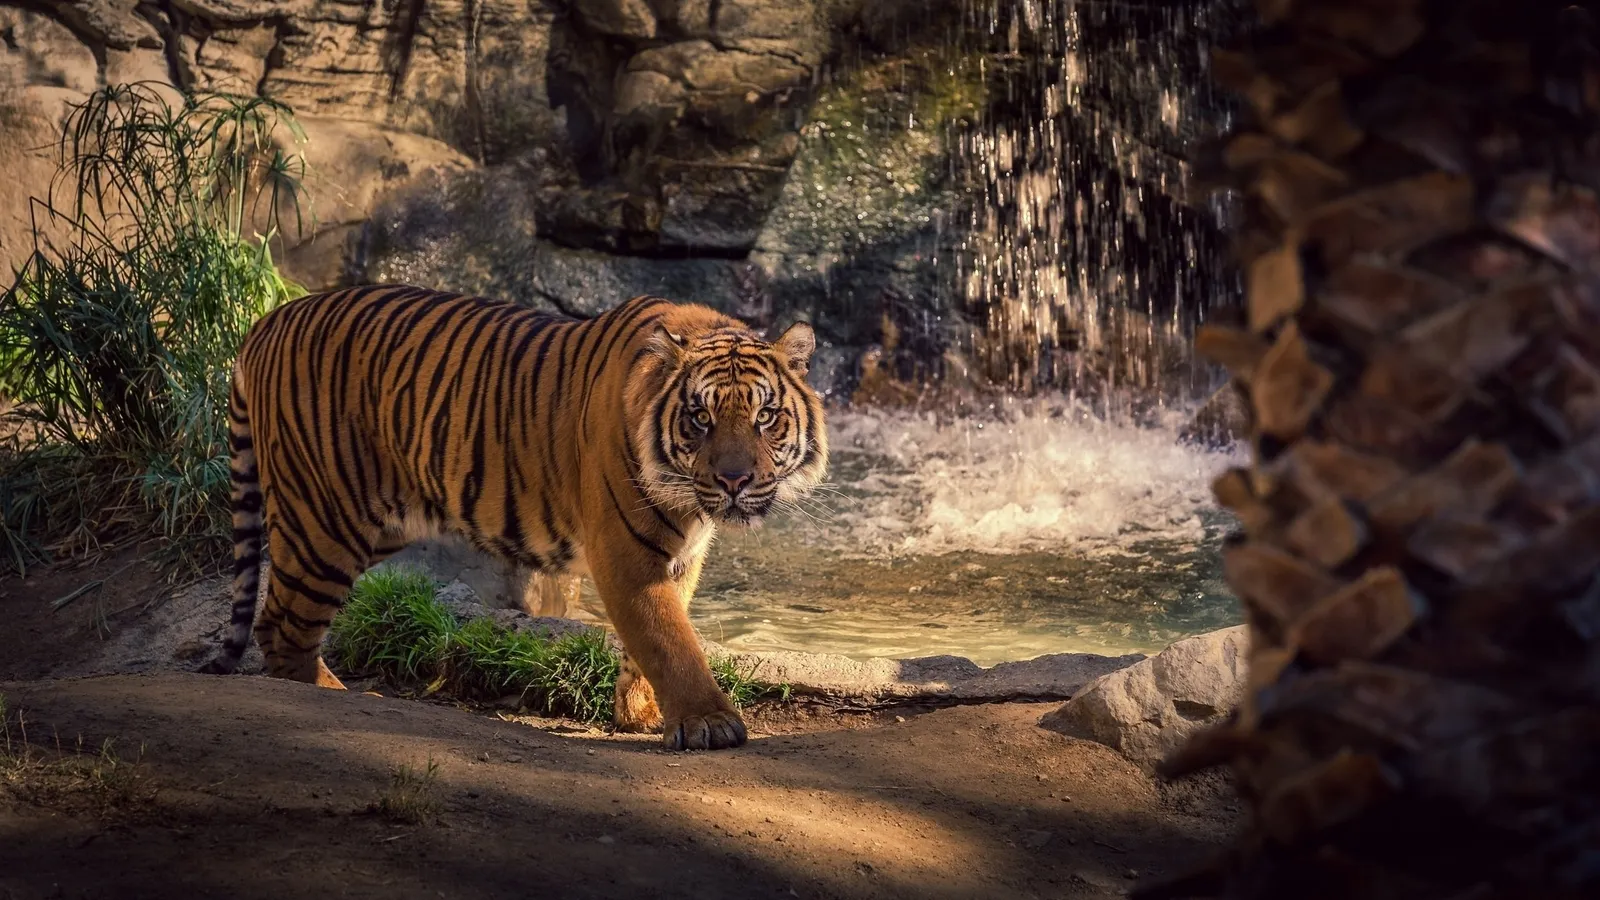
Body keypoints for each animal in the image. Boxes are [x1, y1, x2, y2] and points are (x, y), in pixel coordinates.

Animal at [198, 285, 829, 751]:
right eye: (700, 417)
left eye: (765, 415)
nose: (733, 480)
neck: (687, 499)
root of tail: (268, 320)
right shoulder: (626, 552)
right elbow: (669, 637)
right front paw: (707, 723)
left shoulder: (682, 556)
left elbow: (656, 635)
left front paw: (641, 713)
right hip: (322, 521)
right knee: (282, 627)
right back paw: (340, 696)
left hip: (376, 520)